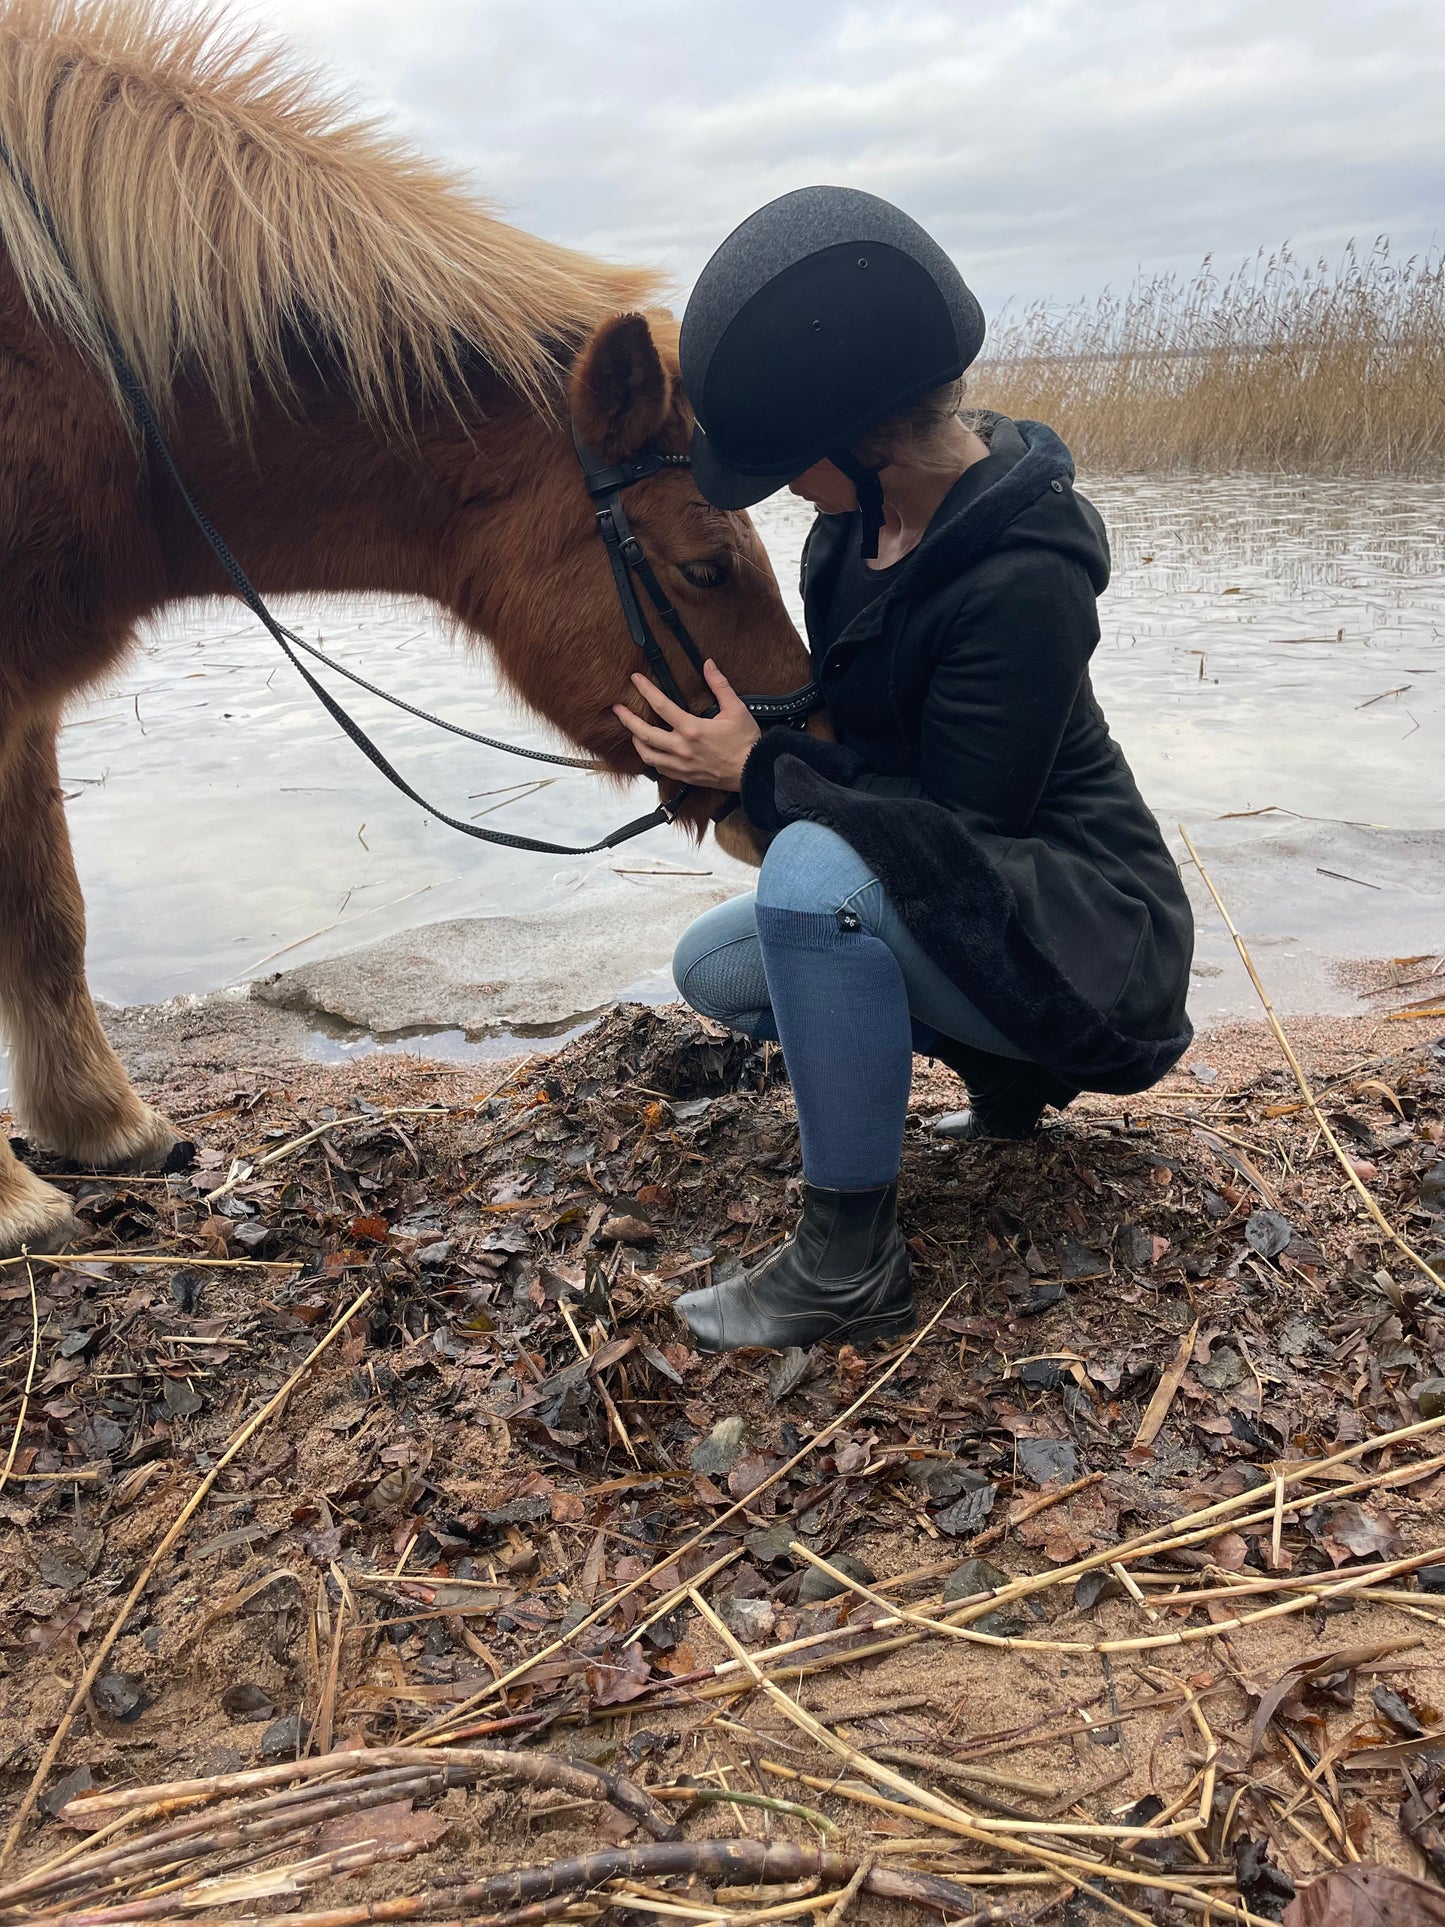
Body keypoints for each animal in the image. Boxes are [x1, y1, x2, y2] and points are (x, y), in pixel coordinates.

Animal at [0, 0, 816, 1256]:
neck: (87, 367)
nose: (797, 764)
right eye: (704, 566)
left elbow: (49, 909)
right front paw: (16, 1198)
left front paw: (102, 1128)